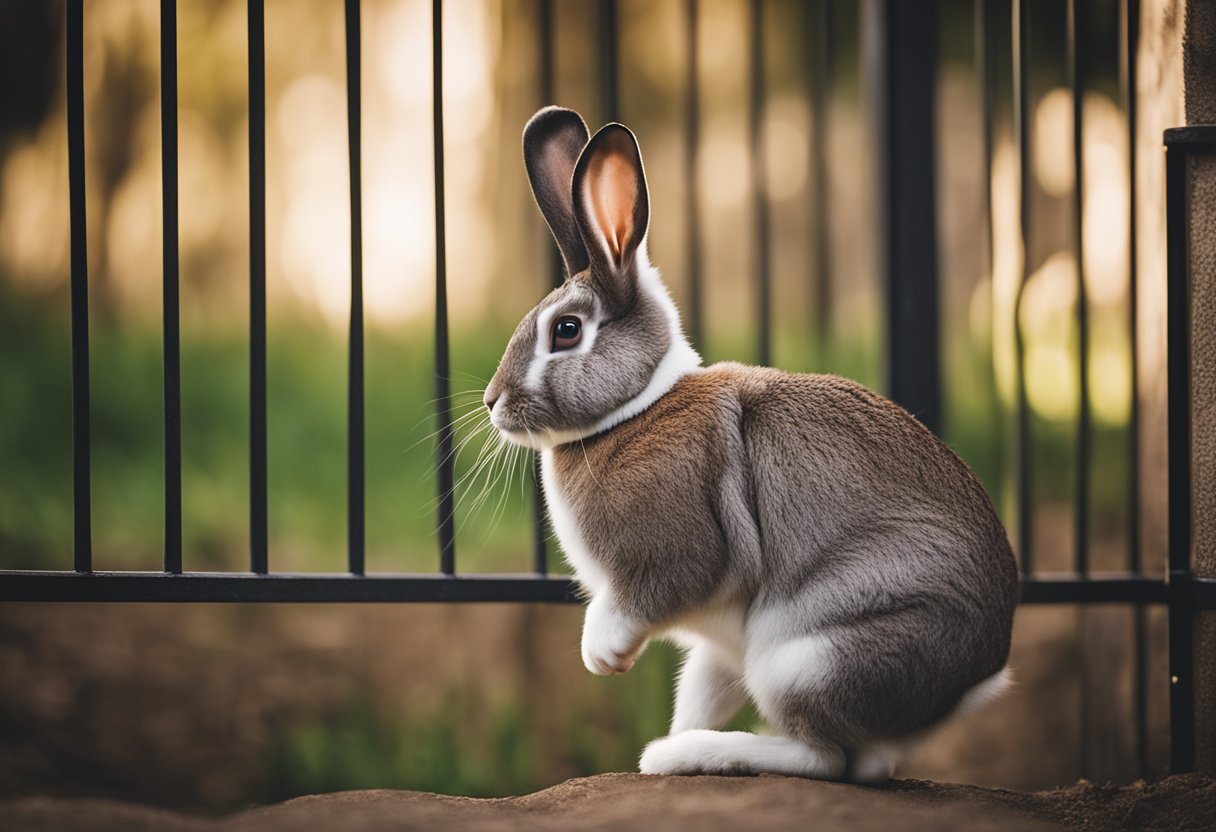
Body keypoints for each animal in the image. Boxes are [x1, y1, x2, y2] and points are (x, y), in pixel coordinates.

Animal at [481, 107, 1016, 783]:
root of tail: (974, 677)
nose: (492, 403)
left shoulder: (671, 559)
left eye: (567, 330)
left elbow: (636, 602)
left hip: (804, 659)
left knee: (828, 759)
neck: (637, 408)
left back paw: (690, 755)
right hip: (743, 657)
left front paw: (602, 657)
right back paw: (669, 756)